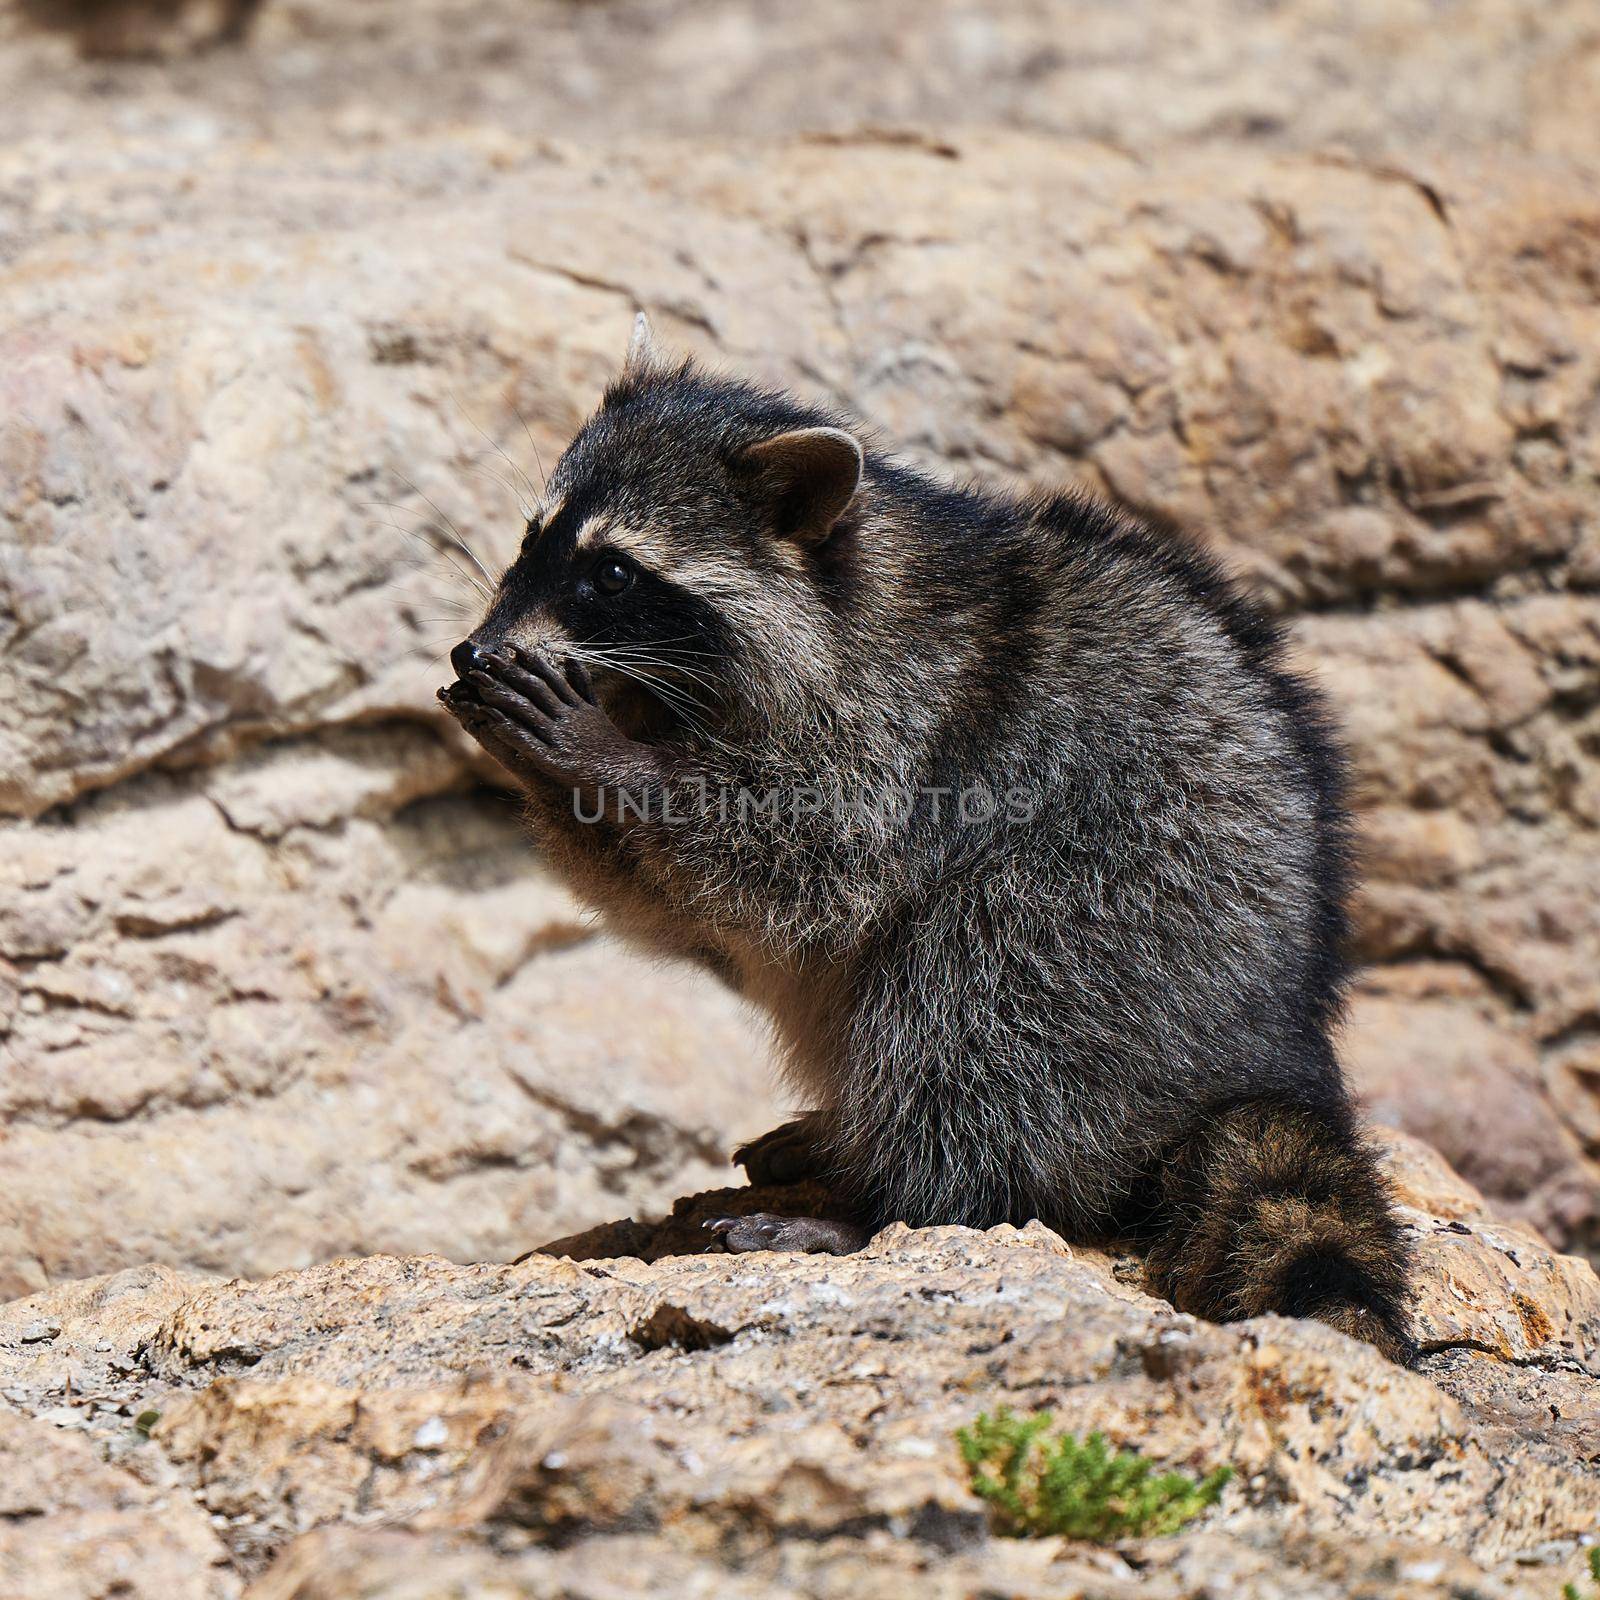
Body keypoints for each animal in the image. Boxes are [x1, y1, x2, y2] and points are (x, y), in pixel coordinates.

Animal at [438, 315, 1414, 1363]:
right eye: (532, 538)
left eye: (613, 571)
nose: (473, 649)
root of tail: (1267, 1053)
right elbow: (684, 904)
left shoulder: (912, 719)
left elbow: (807, 864)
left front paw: (605, 758)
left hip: (1118, 920)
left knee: (970, 1004)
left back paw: (896, 1206)